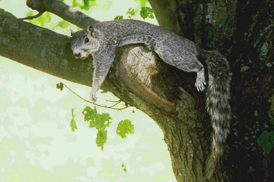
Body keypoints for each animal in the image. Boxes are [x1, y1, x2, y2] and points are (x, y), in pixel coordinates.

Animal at [70, 18, 231, 178]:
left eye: (86, 39)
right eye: (71, 42)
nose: (76, 54)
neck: (99, 34)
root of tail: (194, 46)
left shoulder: (106, 50)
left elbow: (101, 71)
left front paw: (94, 90)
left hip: (170, 51)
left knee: (197, 64)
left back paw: (200, 75)